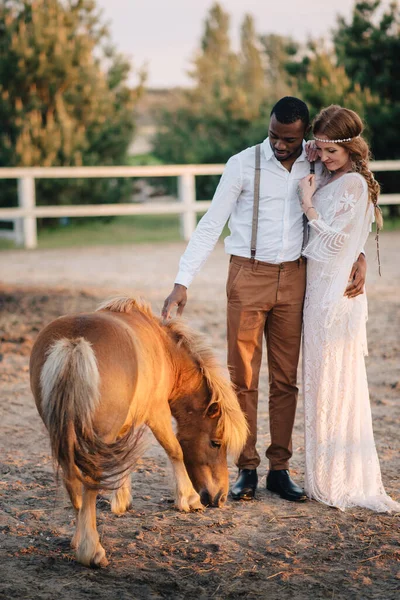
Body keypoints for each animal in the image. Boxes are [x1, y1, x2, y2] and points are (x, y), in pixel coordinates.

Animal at [30, 298, 247, 568]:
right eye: (216, 443)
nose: (221, 498)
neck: (165, 351)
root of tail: (74, 342)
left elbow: (124, 461)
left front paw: (121, 500)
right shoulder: (157, 411)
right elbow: (175, 450)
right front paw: (189, 499)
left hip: (64, 434)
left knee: (74, 482)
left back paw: (78, 539)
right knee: (89, 482)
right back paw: (91, 550)